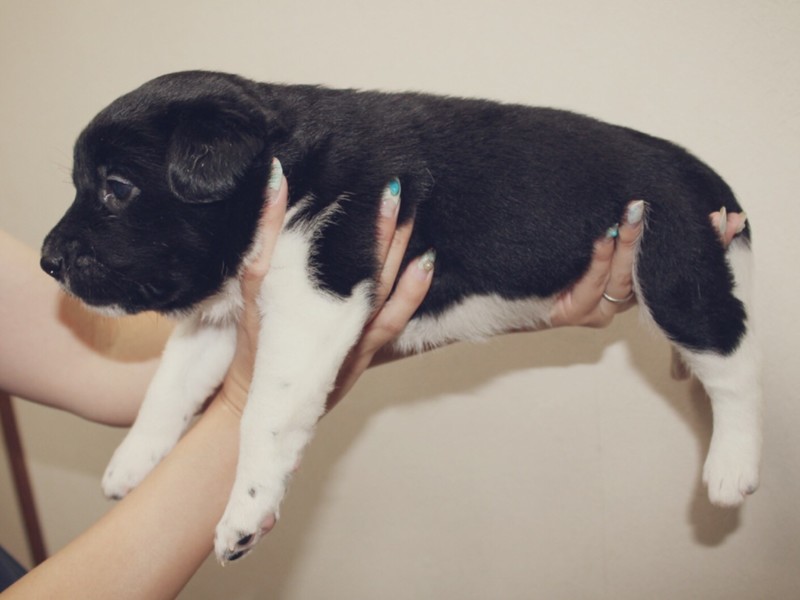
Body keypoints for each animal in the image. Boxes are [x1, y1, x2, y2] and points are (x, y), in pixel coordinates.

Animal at [41, 70, 762, 563]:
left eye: (117, 188)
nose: (48, 260)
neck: (283, 165)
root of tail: (708, 179)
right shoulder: (226, 310)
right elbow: (170, 385)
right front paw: (132, 462)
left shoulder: (316, 292)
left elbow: (264, 416)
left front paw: (246, 512)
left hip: (676, 273)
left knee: (734, 363)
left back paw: (733, 466)